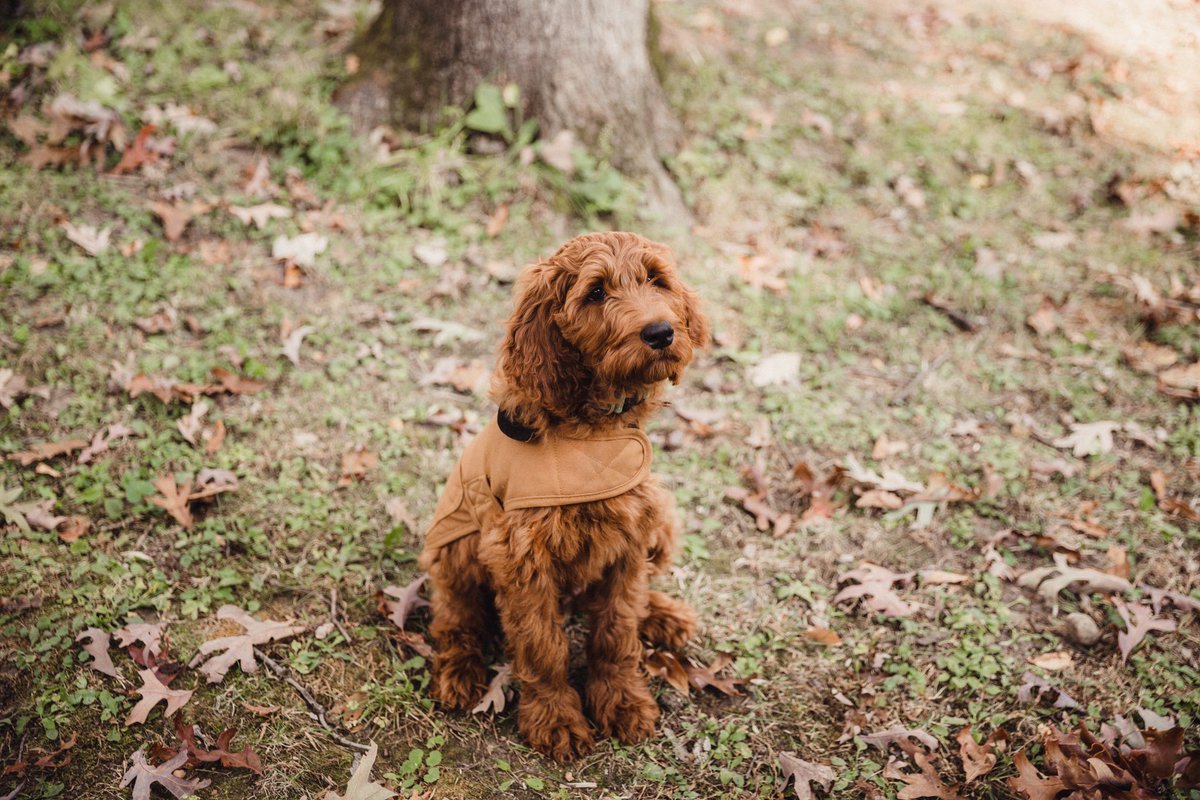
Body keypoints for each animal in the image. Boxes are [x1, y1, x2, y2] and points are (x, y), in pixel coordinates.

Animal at [417, 227, 705, 762]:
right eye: (595, 293)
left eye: (656, 279)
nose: (660, 333)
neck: (594, 436)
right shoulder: (522, 559)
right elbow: (542, 647)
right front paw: (555, 719)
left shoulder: (631, 538)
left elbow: (617, 629)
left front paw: (622, 701)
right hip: (457, 546)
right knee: (455, 616)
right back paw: (459, 671)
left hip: (665, 519)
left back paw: (663, 615)